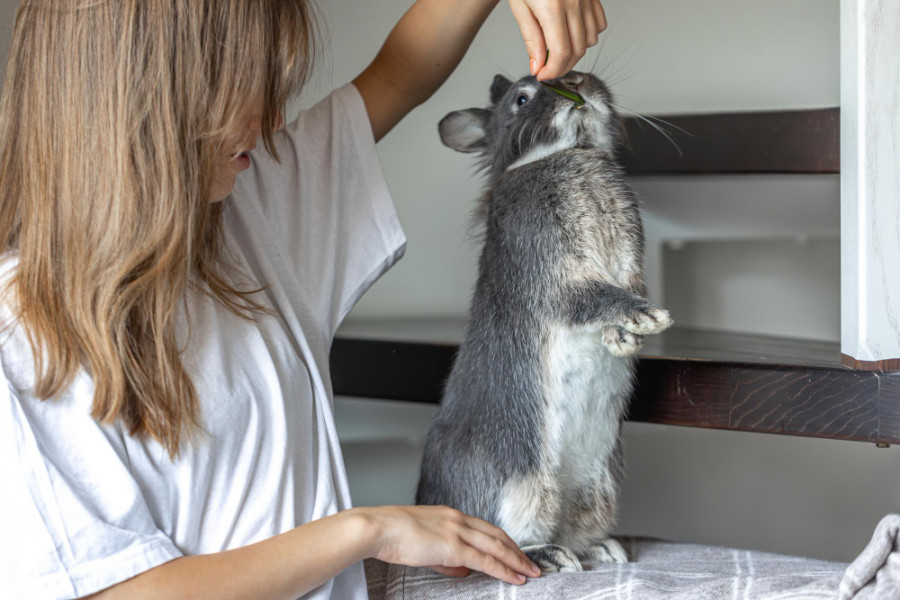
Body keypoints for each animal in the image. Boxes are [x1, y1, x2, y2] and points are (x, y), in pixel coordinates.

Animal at [414, 70, 668, 572]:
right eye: (522, 98)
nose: (578, 81)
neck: (570, 153)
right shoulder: (555, 271)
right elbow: (594, 297)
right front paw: (648, 317)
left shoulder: (629, 261)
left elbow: (624, 286)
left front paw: (624, 339)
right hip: (524, 486)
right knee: (504, 541)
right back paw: (550, 556)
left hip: (595, 488)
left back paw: (602, 550)